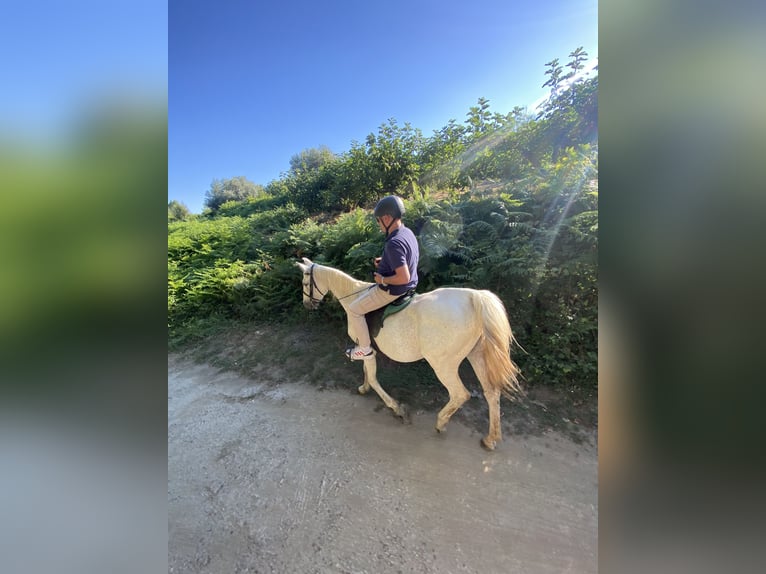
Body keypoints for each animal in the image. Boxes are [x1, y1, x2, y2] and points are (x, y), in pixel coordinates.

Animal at [296, 258, 524, 452]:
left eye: (305, 282)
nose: (307, 305)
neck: (355, 294)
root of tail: (473, 297)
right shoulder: (367, 348)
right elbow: (367, 371)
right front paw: (364, 387)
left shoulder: (366, 347)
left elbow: (373, 376)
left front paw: (396, 408)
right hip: (476, 355)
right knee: (491, 393)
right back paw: (490, 439)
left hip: (443, 364)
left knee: (460, 394)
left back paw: (441, 423)